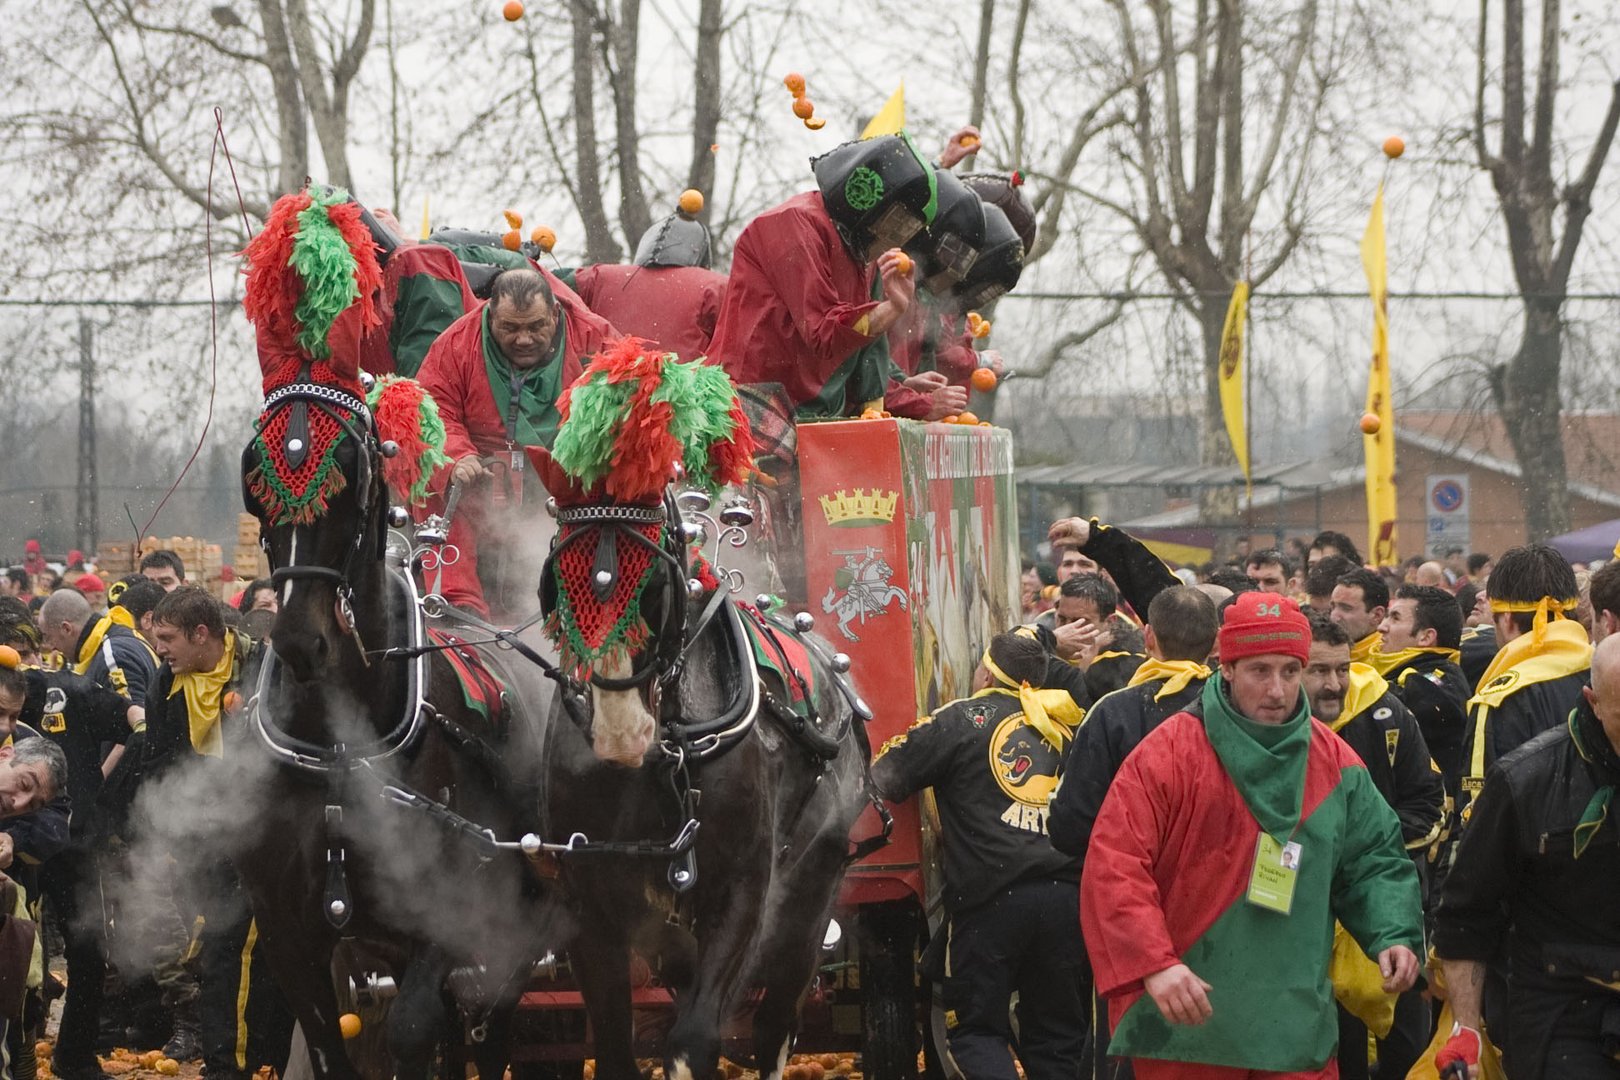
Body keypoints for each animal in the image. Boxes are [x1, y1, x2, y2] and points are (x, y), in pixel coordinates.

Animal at [234, 374, 563, 1080]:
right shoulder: (288, 937)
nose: (301, 641)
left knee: (487, 1026)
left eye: (348, 480)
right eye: (256, 483)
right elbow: (333, 1050)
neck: (337, 750)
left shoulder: (447, 920)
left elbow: (414, 1031)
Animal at [521, 341, 881, 1075]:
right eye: (560, 578)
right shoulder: (589, 908)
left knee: (775, 1025)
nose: (622, 732)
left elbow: (695, 1041)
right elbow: (615, 1043)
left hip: (807, 901)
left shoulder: (740, 895)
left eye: (652, 579)